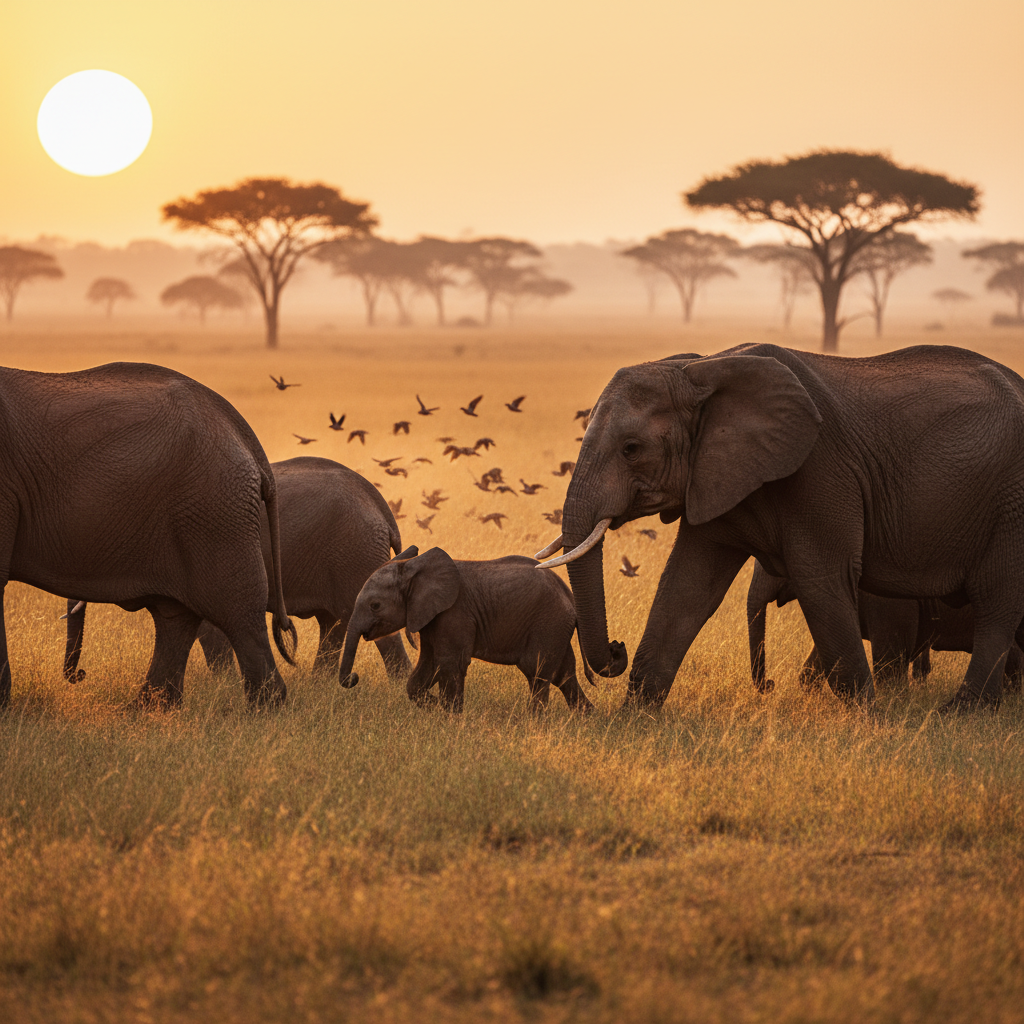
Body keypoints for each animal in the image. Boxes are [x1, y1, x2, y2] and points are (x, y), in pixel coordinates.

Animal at [0, 361, 296, 708]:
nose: (82, 675)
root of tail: (244, 435)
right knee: (176, 616)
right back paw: (147, 711)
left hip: (215, 507)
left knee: (237, 610)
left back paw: (263, 709)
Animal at [61, 457, 411, 685]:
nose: (79, 675)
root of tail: (382, 508)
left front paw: (224, 685)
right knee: (334, 624)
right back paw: (321, 686)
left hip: (356, 554)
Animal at [338, 546, 595, 714]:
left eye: (375, 605)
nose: (354, 677)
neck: (414, 568)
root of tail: (569, 594)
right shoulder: (430, 616)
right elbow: (429, 665)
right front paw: (436, 707)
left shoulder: (454, 613)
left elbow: (450, 663)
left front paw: (450, 716)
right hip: (556, 626)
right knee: (563, 674)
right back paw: (586, 718)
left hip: (548, 622)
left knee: (537, 671)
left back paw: (533, 722)